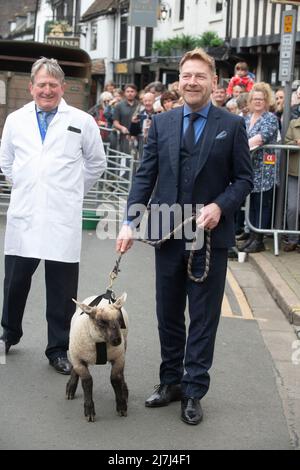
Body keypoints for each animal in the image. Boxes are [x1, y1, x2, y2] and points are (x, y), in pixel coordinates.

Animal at [66, 294, 128, 422]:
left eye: (119, 319)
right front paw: (89, 411)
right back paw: (70, 389)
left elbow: (115, 379)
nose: (117, 340)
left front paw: (121, 406)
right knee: (74, 368)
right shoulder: (79, 361)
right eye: (101, 321)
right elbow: (87, 382)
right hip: (75, 353)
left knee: (121, 374)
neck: (101, 343)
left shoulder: (118, 358)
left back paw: (125, 390)